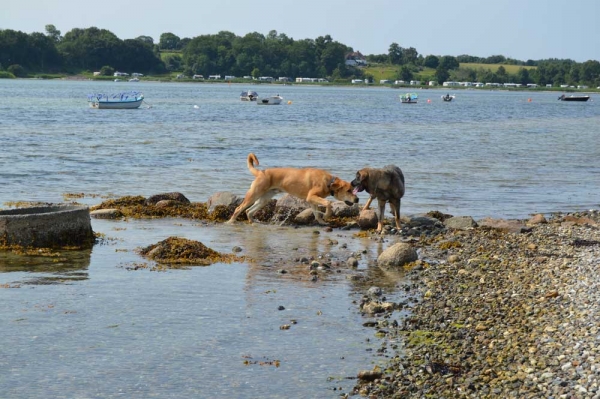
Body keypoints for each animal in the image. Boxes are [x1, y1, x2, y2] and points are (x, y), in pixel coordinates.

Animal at [225, 154, 356, 225]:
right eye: (349, 190)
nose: (358, 199)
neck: (329, 182)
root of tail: (260, 172)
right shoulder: (312, 197)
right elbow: (328, 203)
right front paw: (327, 215)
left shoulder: (311, 200)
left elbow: (316, 213)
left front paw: (322, 221)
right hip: (253, 195)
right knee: (239, 208)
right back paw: (231, 222)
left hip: (264, 199)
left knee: (249, 211)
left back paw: (253, 222)